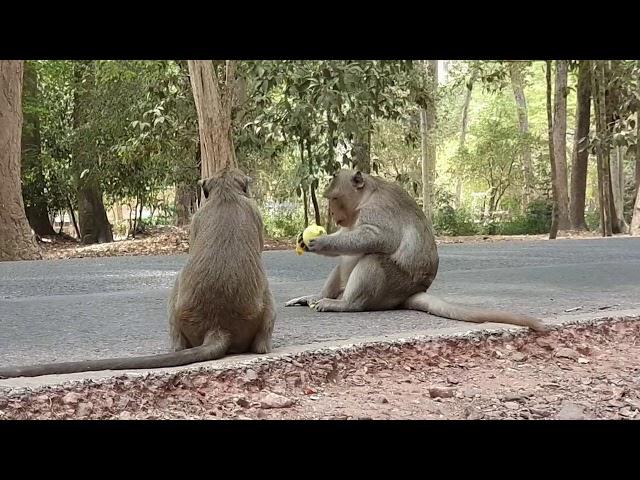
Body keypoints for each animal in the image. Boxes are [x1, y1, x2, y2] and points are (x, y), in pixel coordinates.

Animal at [288, 170, 548, 334]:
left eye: (334, 198)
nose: (332, 213)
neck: (367, 194)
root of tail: (411, 292)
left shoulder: (378, 210)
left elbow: (377, 238)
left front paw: (319, 243)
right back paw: (319, 296)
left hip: (394, 285)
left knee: (374, 260)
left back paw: (346, 304)